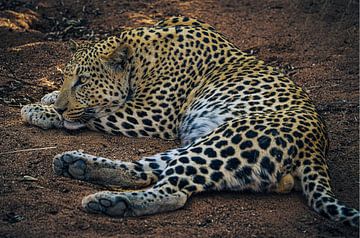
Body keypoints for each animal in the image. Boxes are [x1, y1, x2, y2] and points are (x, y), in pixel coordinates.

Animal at [21, 16, 358, 227]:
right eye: (67, 77)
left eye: (83, 81)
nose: (61, 106)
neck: (140, 56)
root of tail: (317, 146)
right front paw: (49, 98)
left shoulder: (151, 114)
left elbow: (99, 114)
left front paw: (40, 110)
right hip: (205, 144)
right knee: (147, 170)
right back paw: (75, 164)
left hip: (227, 140)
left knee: (174, 191)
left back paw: (109, 202)